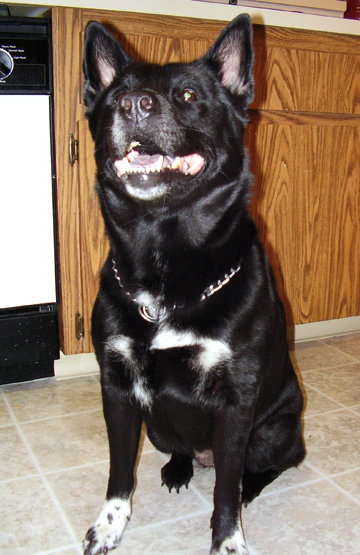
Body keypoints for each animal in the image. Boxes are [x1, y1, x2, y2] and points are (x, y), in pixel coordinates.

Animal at [83, 16, 306, 555]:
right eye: (114, 97)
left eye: (187, 95)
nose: (134, 104)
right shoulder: (117, 385)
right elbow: (119, 472)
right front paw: (110, 525)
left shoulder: (235, 402)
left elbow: (224, 492)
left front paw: (228, 541)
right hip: (160, 429)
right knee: (180, 449)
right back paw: (180, 468)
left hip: (276, 429)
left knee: (264, 467)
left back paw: (249, 485)